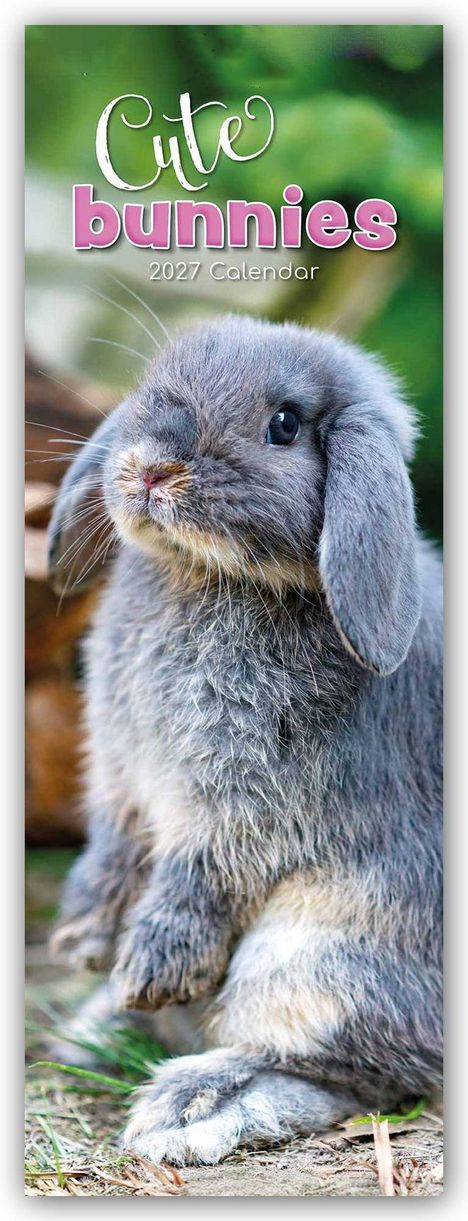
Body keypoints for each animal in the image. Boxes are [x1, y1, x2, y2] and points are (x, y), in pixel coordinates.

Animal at [47, 314, 442, 1166]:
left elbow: (201, 870)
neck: (203, 576)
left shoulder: (245, 797)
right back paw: (96, 1028)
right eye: (153, 383)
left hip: (318, 955)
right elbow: (113, 841)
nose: (153, 468)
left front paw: (151, 965)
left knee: (358, 1068)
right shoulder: (120, 773)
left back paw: (187, 1104)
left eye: (284, 425)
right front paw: (82, 939)